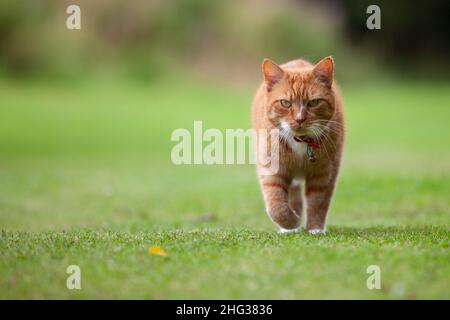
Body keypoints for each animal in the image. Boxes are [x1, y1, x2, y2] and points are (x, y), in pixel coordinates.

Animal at [250, 56, 344, 234]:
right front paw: (292, 222)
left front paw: (315, 229)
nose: (300, 119)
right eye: (285, 103)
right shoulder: (272, 171)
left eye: (314, 102)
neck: (300, 142)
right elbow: (277, 207)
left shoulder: (324, 175)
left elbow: (317, 203)